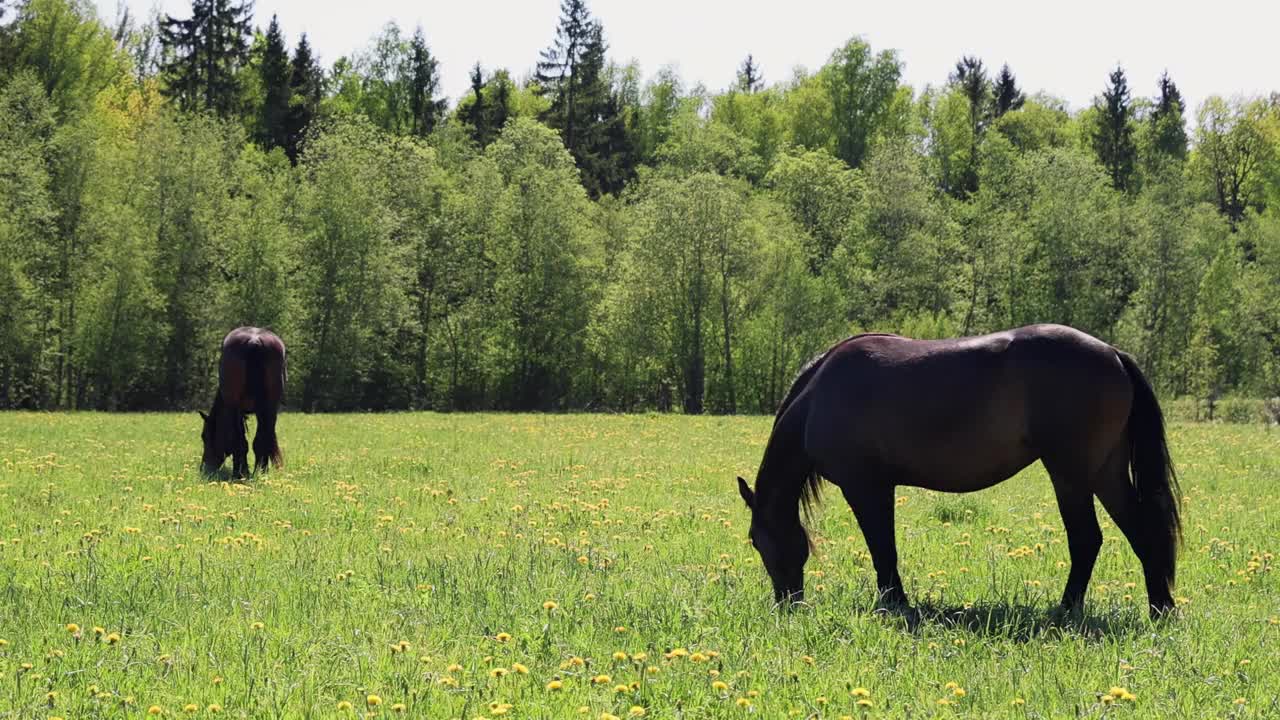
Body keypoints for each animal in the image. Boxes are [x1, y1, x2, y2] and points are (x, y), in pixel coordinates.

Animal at [198, 326, 286, 476]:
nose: (205, 468)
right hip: (270, 408)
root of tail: (254, 340)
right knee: (262, 440)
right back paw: (260, 472)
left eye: (205, 436)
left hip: (235, 406)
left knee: (240, 442)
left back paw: (240, 473)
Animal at [742, 322, 1177, 614]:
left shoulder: (865, 487)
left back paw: (1066, 610)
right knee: (1142, 531)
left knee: (1087, 539)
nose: (787, 603)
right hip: (1105, 473)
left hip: (1070, 475)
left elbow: (883, 549)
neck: (819, 398)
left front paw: (894, 603)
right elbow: (886, 548)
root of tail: (1113, 353)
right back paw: (1160, 607)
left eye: (756, 541)